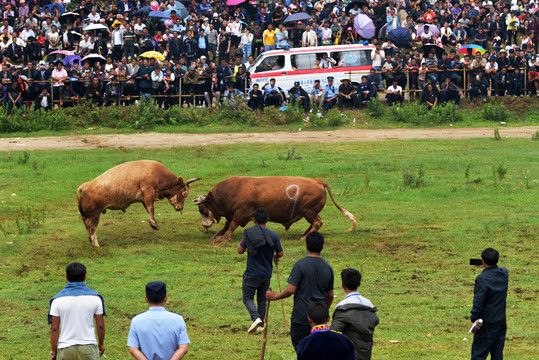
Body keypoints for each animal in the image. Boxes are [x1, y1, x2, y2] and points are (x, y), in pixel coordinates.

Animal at [195, 175, 358, 240]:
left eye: (204, 210)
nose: (204, 225)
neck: (232, 190)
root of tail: (317, 181)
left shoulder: (242, 212)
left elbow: (232, 225)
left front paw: (226, 237)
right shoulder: (232, 213)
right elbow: (227, 224)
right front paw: (218, 234)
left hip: (308, 211)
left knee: (317, 222)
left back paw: (306, 236)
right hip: (308, 212)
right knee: (315, 222)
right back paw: (306, 233)